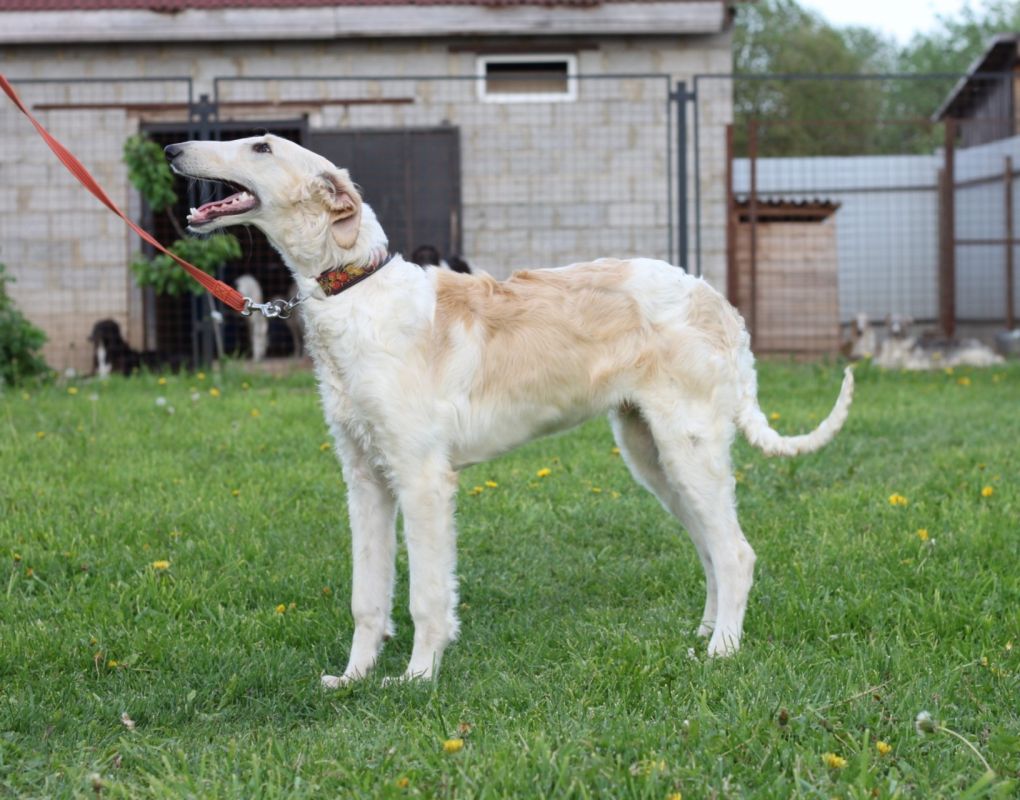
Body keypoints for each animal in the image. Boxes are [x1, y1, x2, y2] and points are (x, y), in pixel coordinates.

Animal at [165, 134, 854, 685]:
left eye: (261, 147)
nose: (172, 149)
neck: (357, 290)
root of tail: (717, 303)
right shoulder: (364, 478)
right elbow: (368, 598)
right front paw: (352, 677)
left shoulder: (422, 478)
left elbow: (426, 596)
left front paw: (417, 678)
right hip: (652, 453)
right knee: (712, 549)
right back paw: (706, 633)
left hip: (688, 445)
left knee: (736, 552)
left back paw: (723, 652)